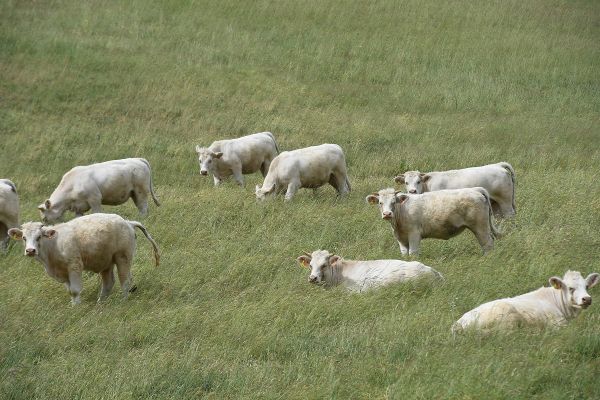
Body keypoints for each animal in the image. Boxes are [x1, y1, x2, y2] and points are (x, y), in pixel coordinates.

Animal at [9, 214, 159, 304]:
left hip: (122, 258)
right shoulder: (64, 273)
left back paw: (123, 301)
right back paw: (100, 304)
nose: (30, 251)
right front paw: (73, 306)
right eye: (24, 238)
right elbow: (70, 291)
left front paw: (77, 307)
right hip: (106, 262)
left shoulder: (74, 266)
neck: (53, 244)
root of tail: (128, 222)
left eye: (39, 237)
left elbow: (75, 290)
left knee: (125, 281)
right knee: (108, 283)